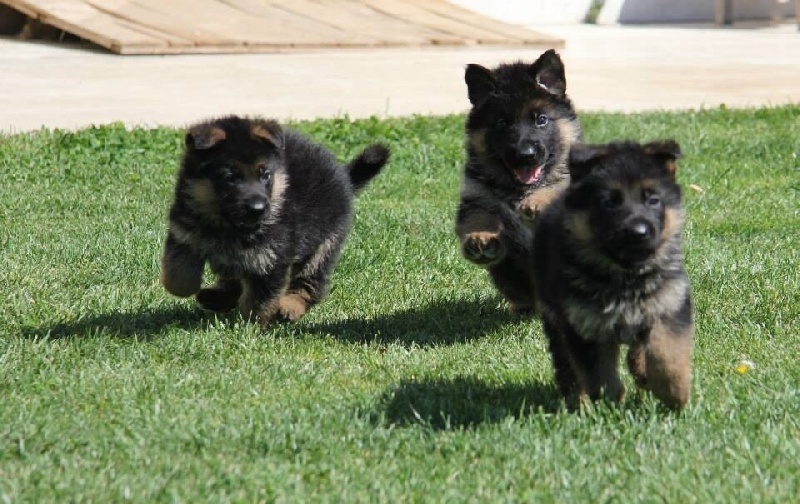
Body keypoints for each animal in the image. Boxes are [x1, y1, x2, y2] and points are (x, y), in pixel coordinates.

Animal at [160, 115, 389, 326]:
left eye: (266, 175)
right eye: (230, 177)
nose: (258, 209)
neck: (226, 227)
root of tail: (345, 177)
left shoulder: (271, 259)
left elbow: (259, 301)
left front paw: (250, 328)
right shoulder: (184, 235)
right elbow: (178, 279)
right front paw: (187, 288)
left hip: (325, 244)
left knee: (309, 283)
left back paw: (289, 307)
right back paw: (217, 297)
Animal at [455, 49, 582, 313]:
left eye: (541, 120)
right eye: (502, 123)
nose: (526, 155)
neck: (517, 190)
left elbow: (554, 189)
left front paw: (536, 202)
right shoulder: (477, 197)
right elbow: (477, 218)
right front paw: (479, 239)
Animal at [532, 141, 694, 410]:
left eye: (653, 200)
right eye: (609, 202)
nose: (638, 232)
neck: (626, 278)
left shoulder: (668, 306)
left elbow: (665, 353)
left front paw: (674, 394)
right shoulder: (584, 324)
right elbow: (599, 373)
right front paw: (609, 404)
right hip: (555, 320)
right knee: (566, 365)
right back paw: (579, 401)